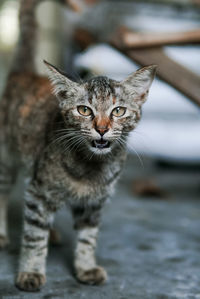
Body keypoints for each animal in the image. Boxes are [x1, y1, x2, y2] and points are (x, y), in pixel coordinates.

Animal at [0, 0, 156, 292]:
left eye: (118, 111)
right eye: (84, 110)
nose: (102, 128)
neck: (89, 166)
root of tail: (22, 74)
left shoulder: (94, 203)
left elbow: (87, 238)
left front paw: (85, 267)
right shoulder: (40, 192)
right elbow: (33, 237)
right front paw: (30, 272)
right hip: (6, 162)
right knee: (3, 195)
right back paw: (3, 234)